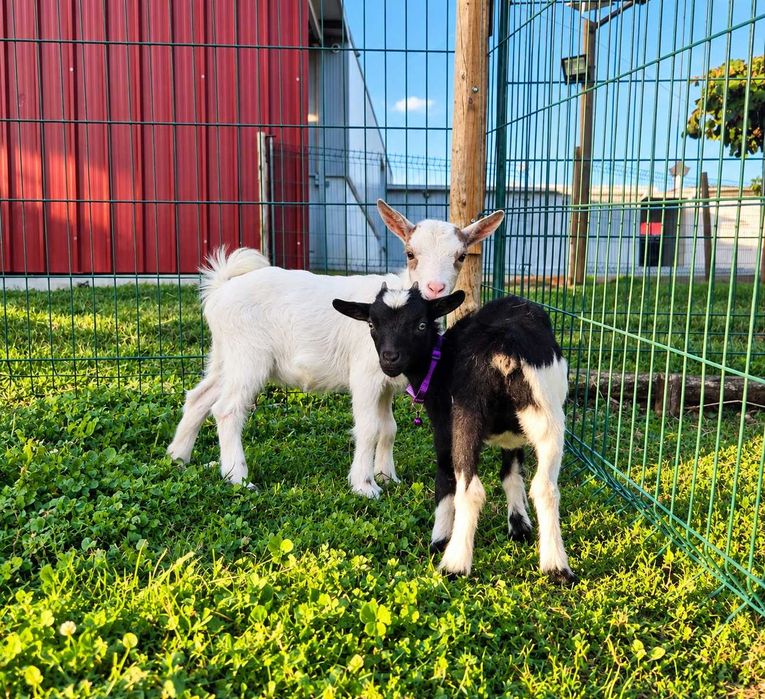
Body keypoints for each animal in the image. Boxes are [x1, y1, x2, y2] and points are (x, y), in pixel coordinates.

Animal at [167, 200, 504, 496]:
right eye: (411, 253)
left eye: (461, 256)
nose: (435, 289)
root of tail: (221, 289)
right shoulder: (366, 375)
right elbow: (368, 428)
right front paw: (364, 485)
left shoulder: (386, 383)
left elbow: (389, 428)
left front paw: (387, 476)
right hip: (249, 356)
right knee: (227, 409)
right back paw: (237, 477)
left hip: (225, 354)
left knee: (199, 397)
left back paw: (178, 458)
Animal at [333, 285, 575, 583]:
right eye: (371, 324)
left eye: (421, 324)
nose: (389, 359)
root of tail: (504, 352)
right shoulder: (513, 436)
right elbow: (511, 474)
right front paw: (519, 526)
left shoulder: (443, 427)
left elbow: (444, 480)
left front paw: (439, 538)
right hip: (548, 412)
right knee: (546, 487)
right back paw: (557, 567)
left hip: (466, 418)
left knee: (471, 490)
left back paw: (455, 563)